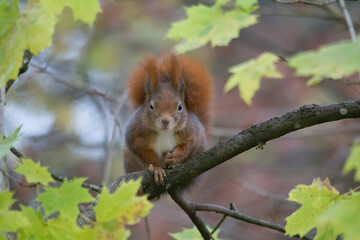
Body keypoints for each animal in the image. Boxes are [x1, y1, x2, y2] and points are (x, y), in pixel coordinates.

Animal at [124, 53, 214, 187]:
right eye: (151, 106)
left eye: (180, 107)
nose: (165, 121)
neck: (164, 132)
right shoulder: (135, 134)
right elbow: (142, 151)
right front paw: (156, 168)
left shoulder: (192, 132)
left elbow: (189, 144)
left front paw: (175, 157)